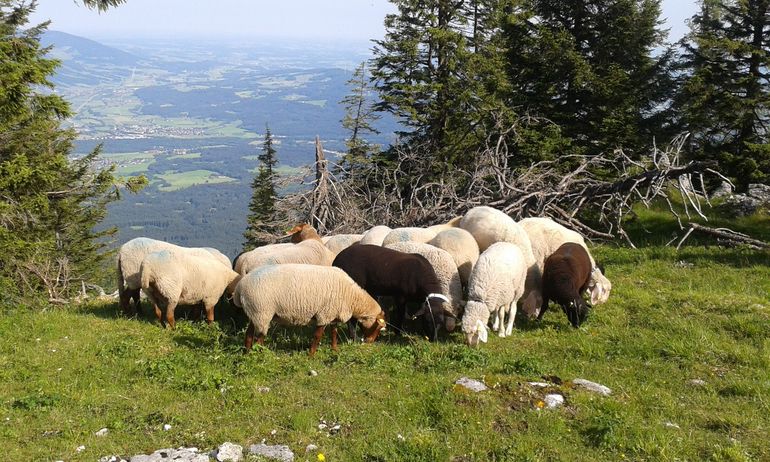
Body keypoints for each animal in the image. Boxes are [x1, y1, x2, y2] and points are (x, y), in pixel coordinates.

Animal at [234, 264, 388, 358]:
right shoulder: (324, 314)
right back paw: (260, 355)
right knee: (259, 338)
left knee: (249, 334)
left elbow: (334, 333)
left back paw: (247, 353)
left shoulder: (333, 315)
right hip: (263, 312)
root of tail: (240, 287)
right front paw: (311, 355)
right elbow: (317, 336)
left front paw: (334, 349)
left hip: (254, 312)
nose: (369, 342)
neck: (352, 297)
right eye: (377, 326)